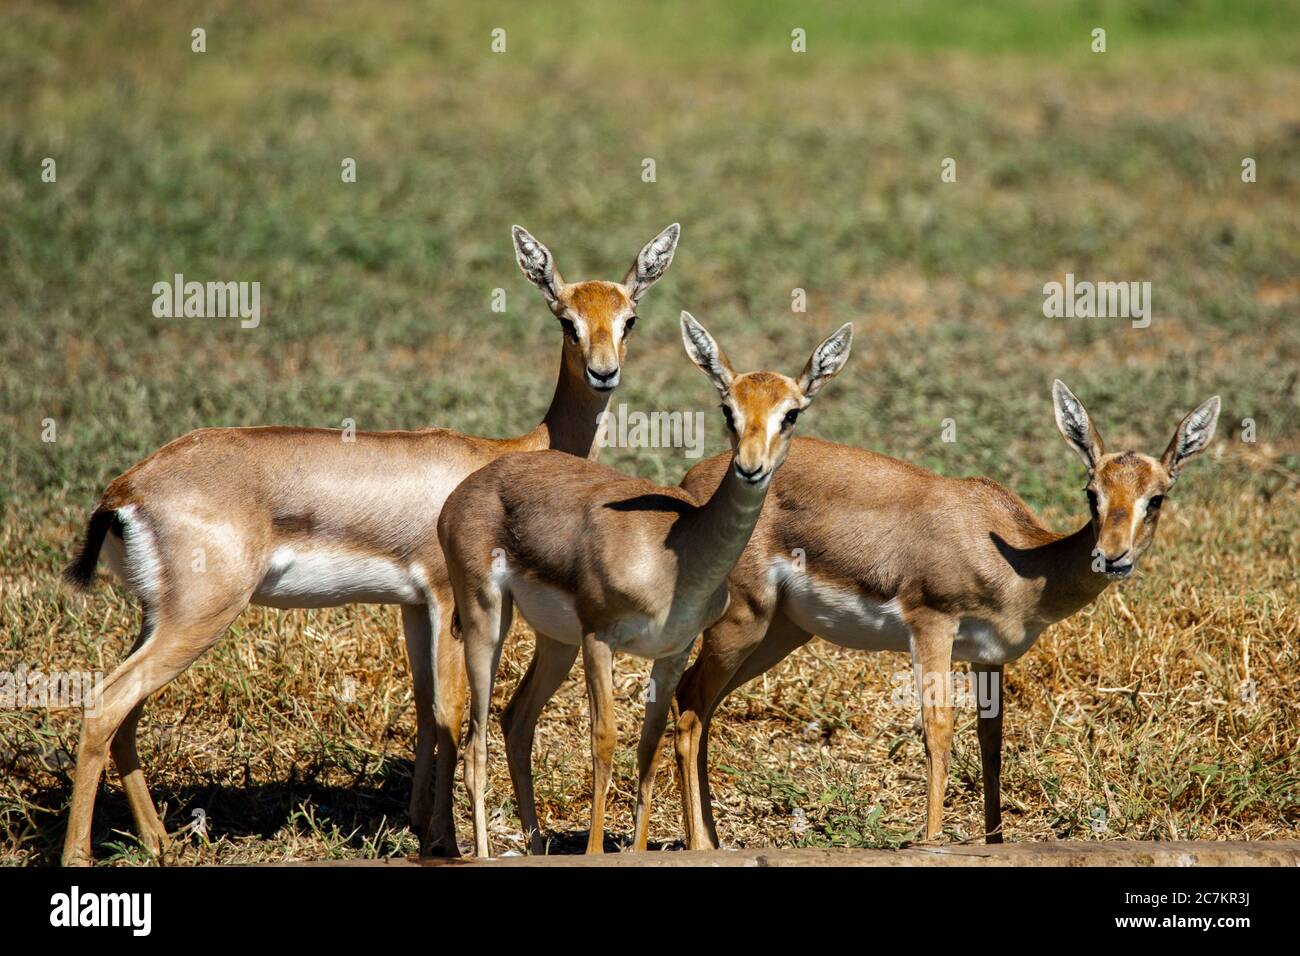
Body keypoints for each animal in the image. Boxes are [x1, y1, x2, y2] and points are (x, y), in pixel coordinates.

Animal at [58, 223, 681, 865]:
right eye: (566, 320)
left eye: (629, 318)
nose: (604, 372)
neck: (505, 452)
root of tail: (125, 489)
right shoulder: (449, 601)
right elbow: (450, 712)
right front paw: (445, 841)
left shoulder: (412, 606)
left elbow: (426, 710)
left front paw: (421, 826)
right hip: (200, 617)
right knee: (104, 705)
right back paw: (81, 853)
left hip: (159, 619)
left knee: (126, 715)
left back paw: (160, 842)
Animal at [437, 313, 854, 856]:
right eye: (728, 408)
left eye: (791, 414)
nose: (750, 467)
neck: (676, 557)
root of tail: (464, 491)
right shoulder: (600, 638)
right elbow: (605, 740)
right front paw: (595, 850)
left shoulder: (672, 652)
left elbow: (649, 748)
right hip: (487, 618)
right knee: (475, 743)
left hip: (555, 642)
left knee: (516, 721)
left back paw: (536, 844)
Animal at [668, 381, 1220, 848]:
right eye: (1092, 493)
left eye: (1156, 498)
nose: (1112, 556)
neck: (1015, 556)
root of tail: (690, 485)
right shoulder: (932, 626)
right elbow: (938, 731)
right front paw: (932, 841)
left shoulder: (989, 657)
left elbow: (991, 743)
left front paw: (995, 842)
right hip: (743, 622)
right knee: (691, 701)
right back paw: (699, 845)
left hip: (778, 633)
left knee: (699, 704)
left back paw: (711, 841)